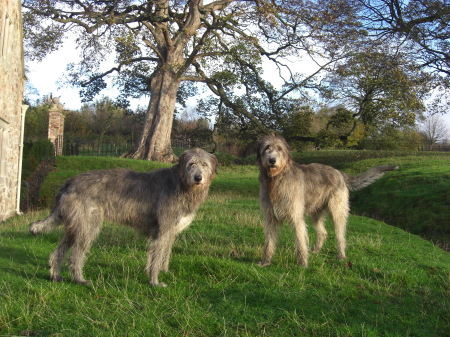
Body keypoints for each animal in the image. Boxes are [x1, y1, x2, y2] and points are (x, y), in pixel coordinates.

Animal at [30, 149, 217, 286]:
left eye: (204, 164)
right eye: (191, 164)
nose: (198, 178)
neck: (181, 184)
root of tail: (70, 181)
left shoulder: (171, 231)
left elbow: (165, 253)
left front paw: (165, 271)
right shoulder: (162, 229)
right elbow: (156, 257)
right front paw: (155, 282)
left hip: (75, 226)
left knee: (57, 252)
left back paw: (56, 276)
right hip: (88, 226)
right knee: (75, 256)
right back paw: (80, 280)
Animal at [256, 134, 398, 268]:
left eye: (279, 149)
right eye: (267, 148)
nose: (272, 160)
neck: (276, 180)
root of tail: (339, 173)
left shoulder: (296, 216)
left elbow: (300, 241)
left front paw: (302, 264)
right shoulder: (270, 216)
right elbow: (269, 241)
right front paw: (265, 261)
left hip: (337, 210)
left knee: (340, 235)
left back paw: (341, 256)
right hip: (316, 212)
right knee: (323, 232)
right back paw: (316, 250)